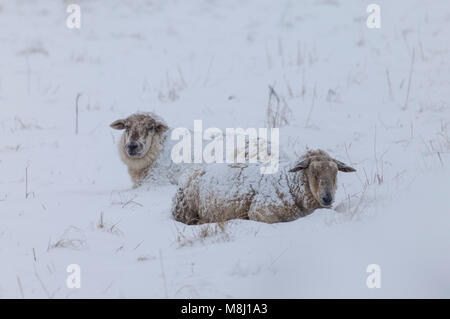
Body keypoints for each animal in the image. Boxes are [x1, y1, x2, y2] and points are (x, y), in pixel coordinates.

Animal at [171, 150, 356, 225]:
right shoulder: (260, 212)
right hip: (186, 212)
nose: (327, 198)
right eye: (313, 172)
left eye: (336, 172)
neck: (290, 185)